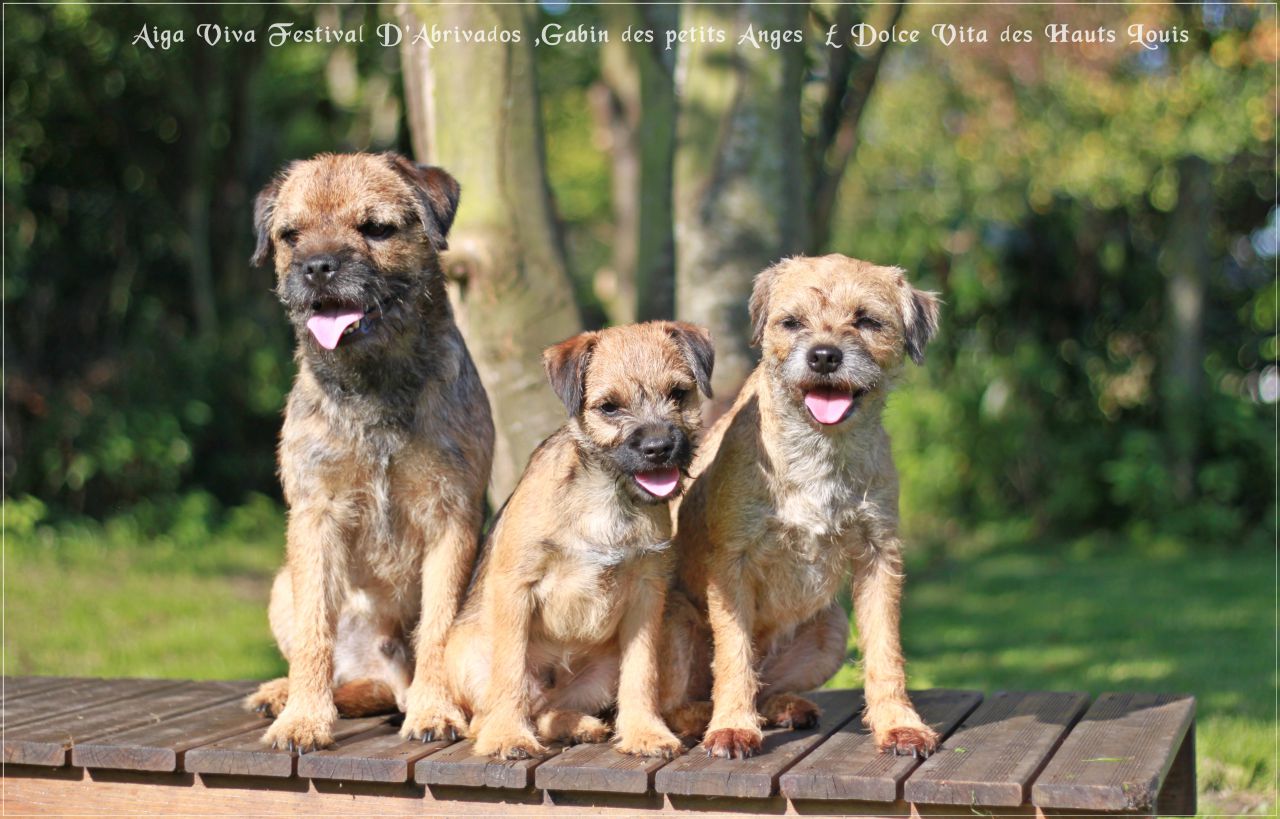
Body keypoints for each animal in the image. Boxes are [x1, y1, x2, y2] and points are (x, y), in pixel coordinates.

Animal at [243, 152, 494, 752]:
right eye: (290, 235)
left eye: (376, 228)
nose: (317, 267)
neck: (375, 384)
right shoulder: (315, 515)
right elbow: (314, 629)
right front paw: (305, 719)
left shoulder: (451, 517)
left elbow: (438, 625)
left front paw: (435, 710)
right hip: (281, 583)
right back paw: (281, 694)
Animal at [444, 321, 714, 760]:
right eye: (609, 407)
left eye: (678, 394)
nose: (659, 447)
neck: (606, 496)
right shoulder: (515, 585)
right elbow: (510, 671)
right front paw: (508, 737)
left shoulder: (647, 594)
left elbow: (642, 672)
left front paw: (645, 733)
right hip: (466, 655)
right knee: (494, 713)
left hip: (614, 663)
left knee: (550, 709)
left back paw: (581, 726)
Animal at [660, 254, 940, 759]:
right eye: (791, 323)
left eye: (867, 321)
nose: (824, 355)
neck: (820, 450)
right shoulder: (731, 563)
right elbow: (734, 656)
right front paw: (731, 727)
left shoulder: (879, 556)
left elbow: (886, 651)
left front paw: (899, 724)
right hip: (672, 620)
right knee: (677, 701)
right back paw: (704, 717)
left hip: (831, 625)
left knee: (766, 685)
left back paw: (783, 706)